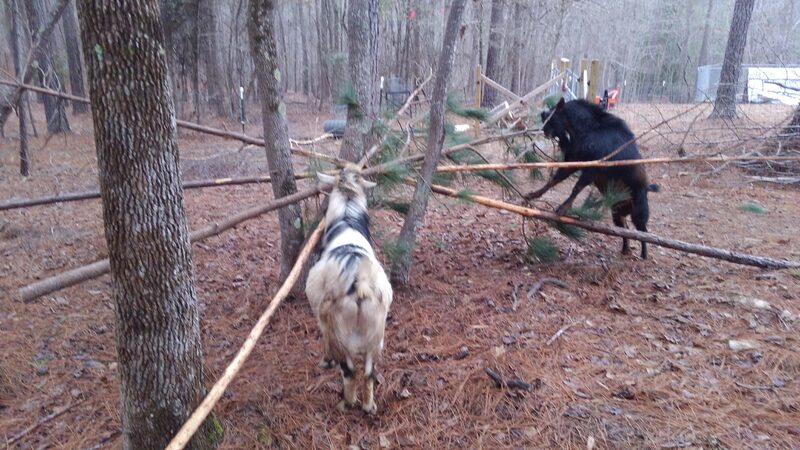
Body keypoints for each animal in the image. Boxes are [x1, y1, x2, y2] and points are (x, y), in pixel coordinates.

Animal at [305, 165, 393, 414]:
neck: (347, 221)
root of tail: (360, 282)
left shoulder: (323, 320)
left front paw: (325, 361)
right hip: (376, 335)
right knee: (370, 373)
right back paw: (369, 406)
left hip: (341, 335)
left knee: (350, 371)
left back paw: (346, 403)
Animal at [524, 98, 659, 258]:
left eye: (552, 117)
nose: (544, 130)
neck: (585, 131)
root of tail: (647, 188)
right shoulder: (574, 162)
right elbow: (553, 181)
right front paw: (533, 194)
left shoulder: (593, 168)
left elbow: (576, 188)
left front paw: (562, 209)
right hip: (617, 211)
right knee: (625, 228)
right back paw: (625, 249)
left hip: (639, 211)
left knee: (643, 231)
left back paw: (644, 255)